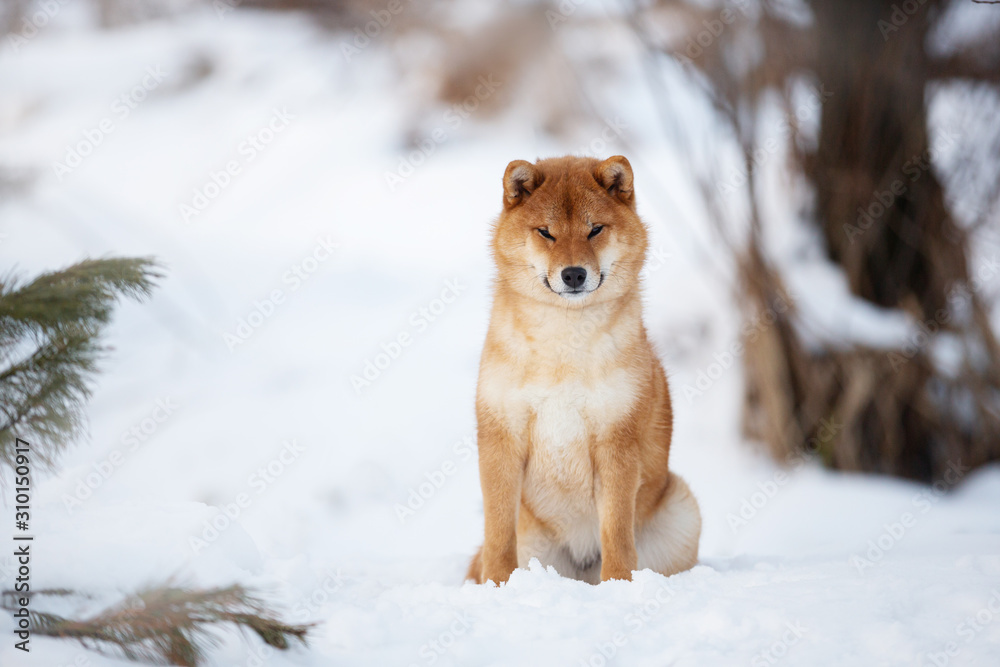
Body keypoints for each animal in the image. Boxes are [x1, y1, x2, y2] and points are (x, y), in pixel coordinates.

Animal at [466, 155, 696, 584]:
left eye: (595, 230)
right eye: (546, 232)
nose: (573, 273)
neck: (563, 349)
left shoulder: (616, 441)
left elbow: (617, 532)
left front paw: (619, 585)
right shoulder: (501, 437)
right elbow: (498, 532)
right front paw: (499, 585)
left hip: (684, 511)